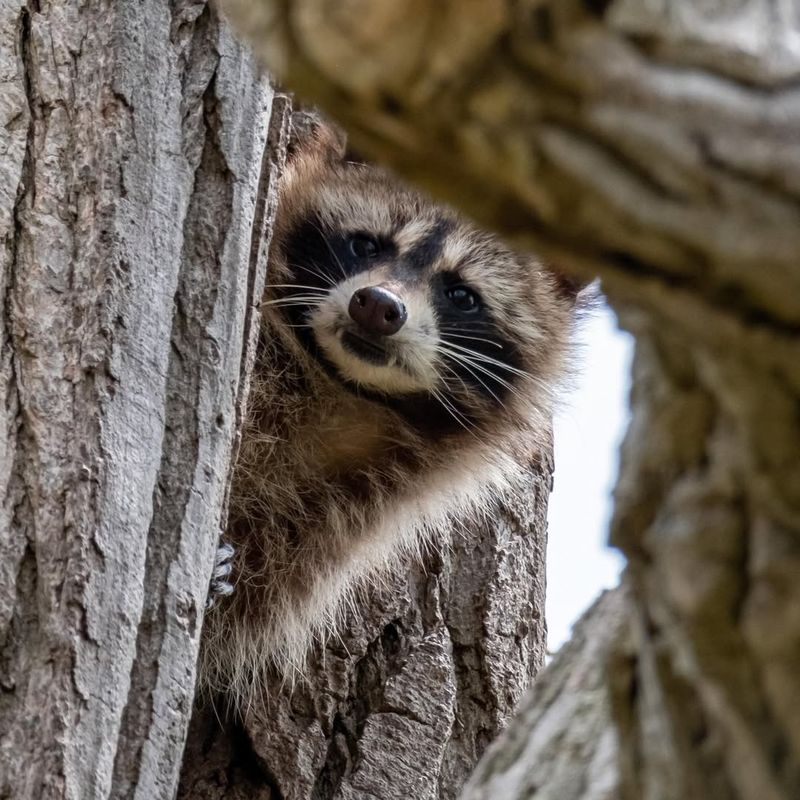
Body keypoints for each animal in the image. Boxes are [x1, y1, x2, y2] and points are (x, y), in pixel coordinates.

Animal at [201, 120, 579, 701]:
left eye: (461, 294)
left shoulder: (340, 510)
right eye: (365, 244)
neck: (345, 389)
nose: (378, 306)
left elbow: (257, 601)